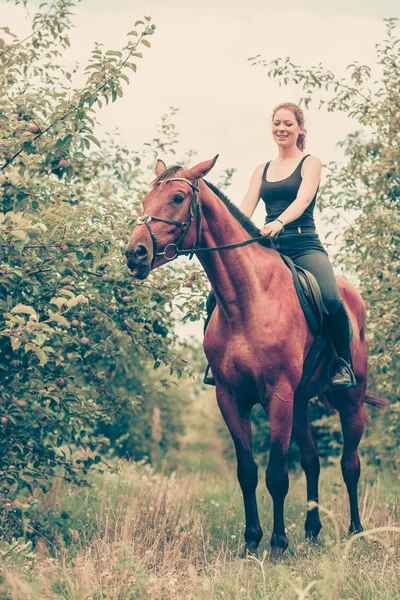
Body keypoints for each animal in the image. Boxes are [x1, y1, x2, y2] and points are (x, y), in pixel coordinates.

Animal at [126, 157, 388, 556]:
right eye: (145, 198)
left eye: (177, 197)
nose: (134, 253)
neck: (248, 299)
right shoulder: (231, 397)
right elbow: (247, 472)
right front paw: (252, 541)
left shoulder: (277, 395)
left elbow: (277, 475)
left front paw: (278, 544)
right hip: (300, 402)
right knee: (312, 461)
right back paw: (313, 530)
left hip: (350, 400)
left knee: (350, 464)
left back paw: (355, 531)